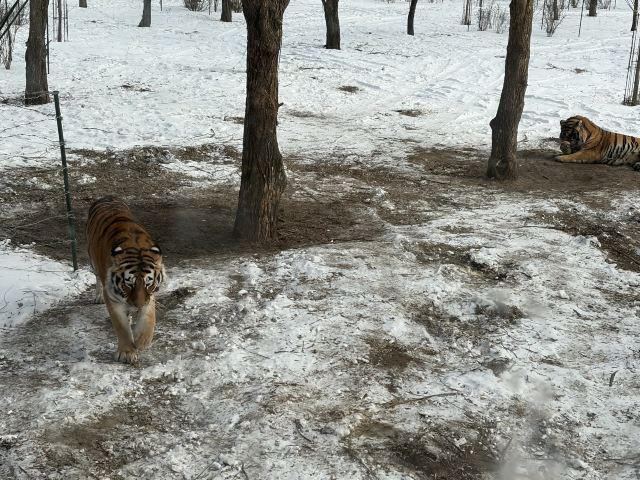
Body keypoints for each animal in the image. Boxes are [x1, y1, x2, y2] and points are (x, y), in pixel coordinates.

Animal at [86, 196, 165, 364]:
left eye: (148, 283)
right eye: (128, 284)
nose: (138, 306)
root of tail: (107, 197)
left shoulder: (150, 297)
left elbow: (149, 319)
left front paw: (141, 341)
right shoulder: (112, 298)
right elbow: (121, 326)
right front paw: (127, 352)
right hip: (92, 260)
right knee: (97, 278)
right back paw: (98, 296)